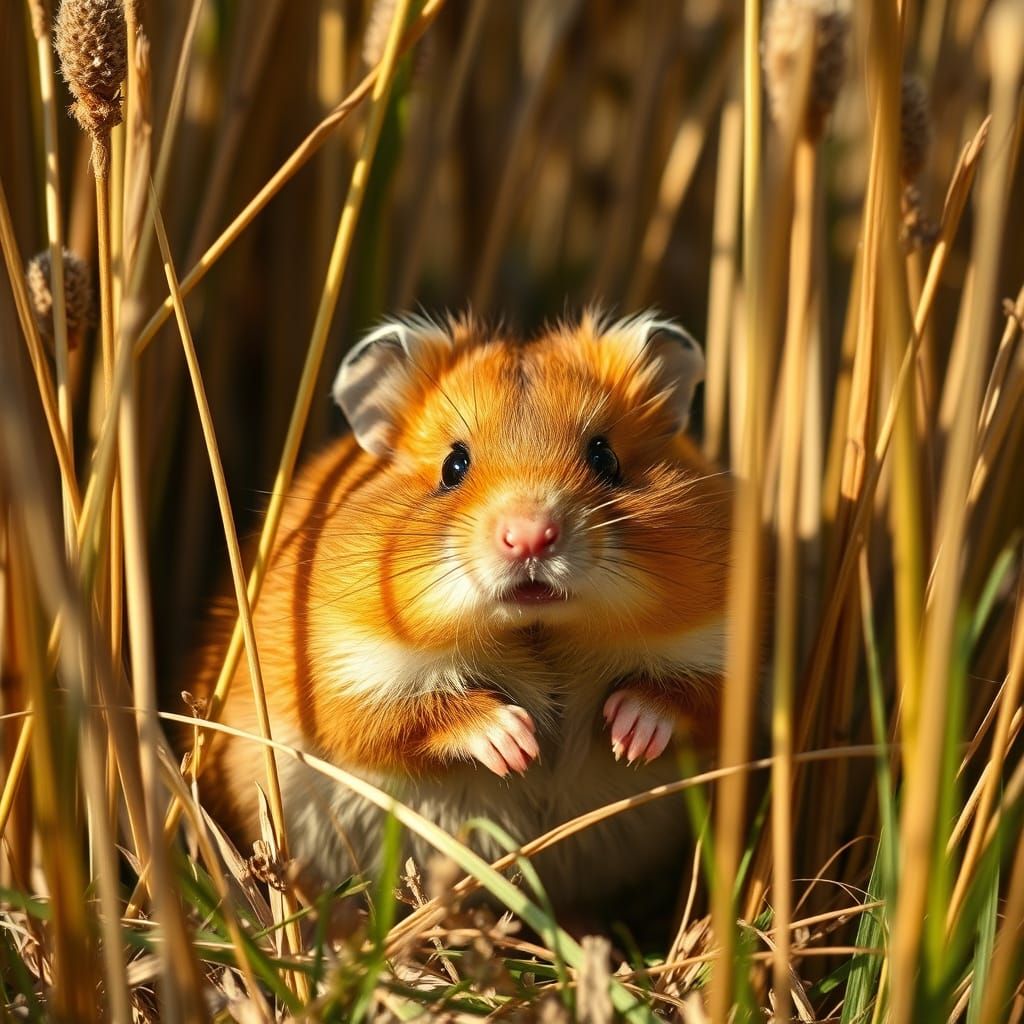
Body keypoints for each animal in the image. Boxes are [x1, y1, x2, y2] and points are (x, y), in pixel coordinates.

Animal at [193, 310, 730, 908]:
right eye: (454, 465)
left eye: (605, 457)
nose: (529, 537)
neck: (538, 631)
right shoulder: (341, 676)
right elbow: (413, 716)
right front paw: (517, 746)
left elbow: (684, 696)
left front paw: (627, 738)